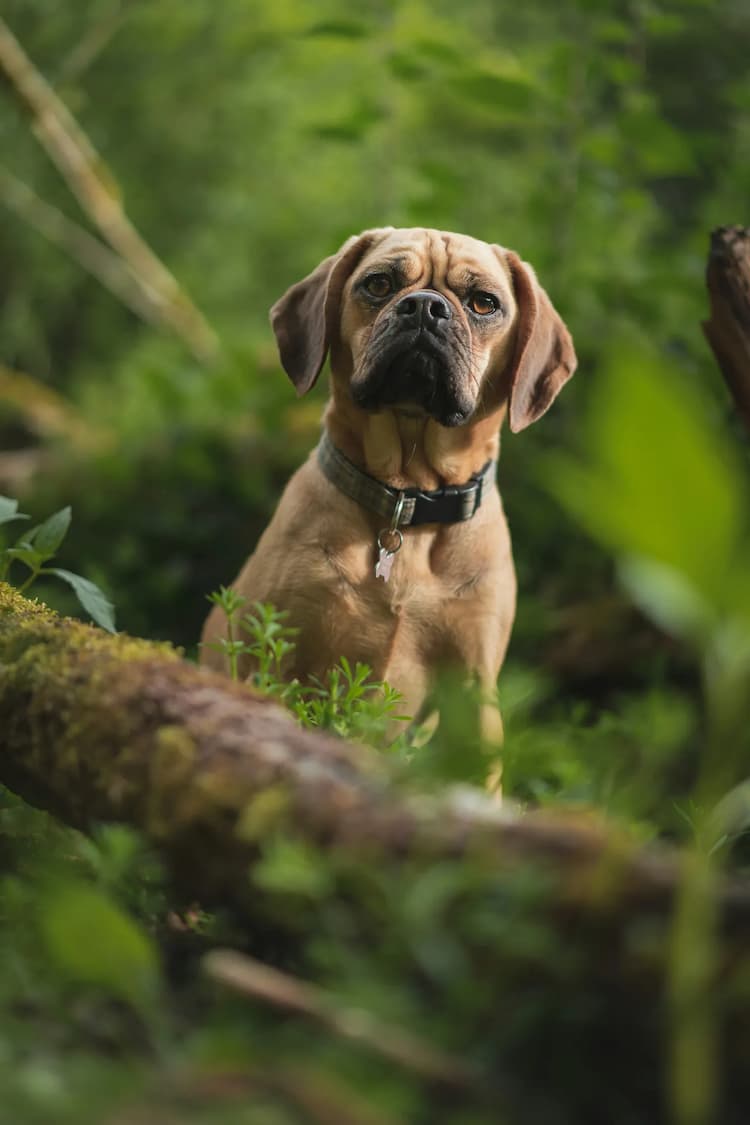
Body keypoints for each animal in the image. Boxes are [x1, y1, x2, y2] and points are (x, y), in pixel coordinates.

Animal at [199, 228, 575, 774]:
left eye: (484, 302)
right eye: (379, 284)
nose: (425, 307)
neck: (408, 501)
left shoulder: (473, 693)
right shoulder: (275, 654)